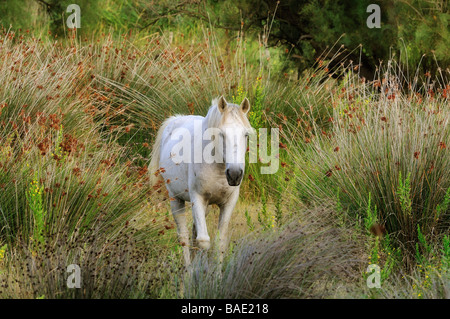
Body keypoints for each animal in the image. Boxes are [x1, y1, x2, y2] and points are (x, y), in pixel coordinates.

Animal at [149, 95, 251, 264]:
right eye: (221, 134)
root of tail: (175, 120)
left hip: (205, 206)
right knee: (183, 237)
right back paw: (188, 269)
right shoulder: (197, 198)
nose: (235, 174)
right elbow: (203, 242)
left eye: (246, 135)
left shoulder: (229, 202)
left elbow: (219, 243)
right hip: (176, 199)